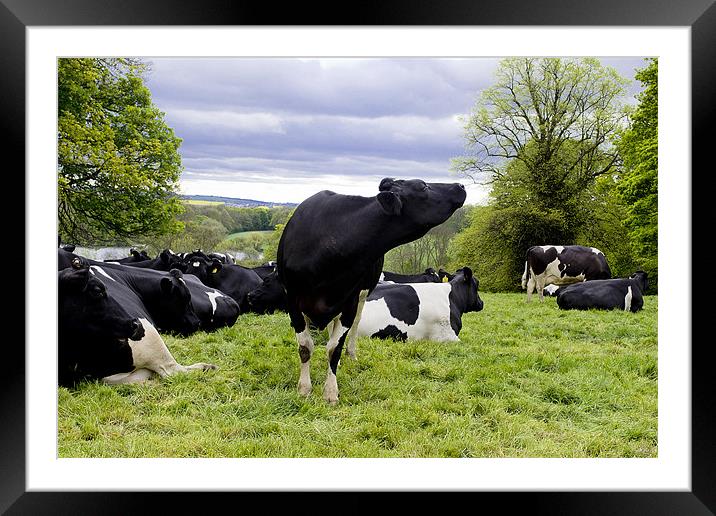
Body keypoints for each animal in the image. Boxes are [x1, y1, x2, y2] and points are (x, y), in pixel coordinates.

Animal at [276, 177, 468, 404]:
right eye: (422, 186)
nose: (460, 186)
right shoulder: (292, 299)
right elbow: (306, 346)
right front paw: (304, 388)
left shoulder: (350, 300)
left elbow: (334, 348)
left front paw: (330, 391)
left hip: (361, 297)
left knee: (352, 328)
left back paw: (349, 355)